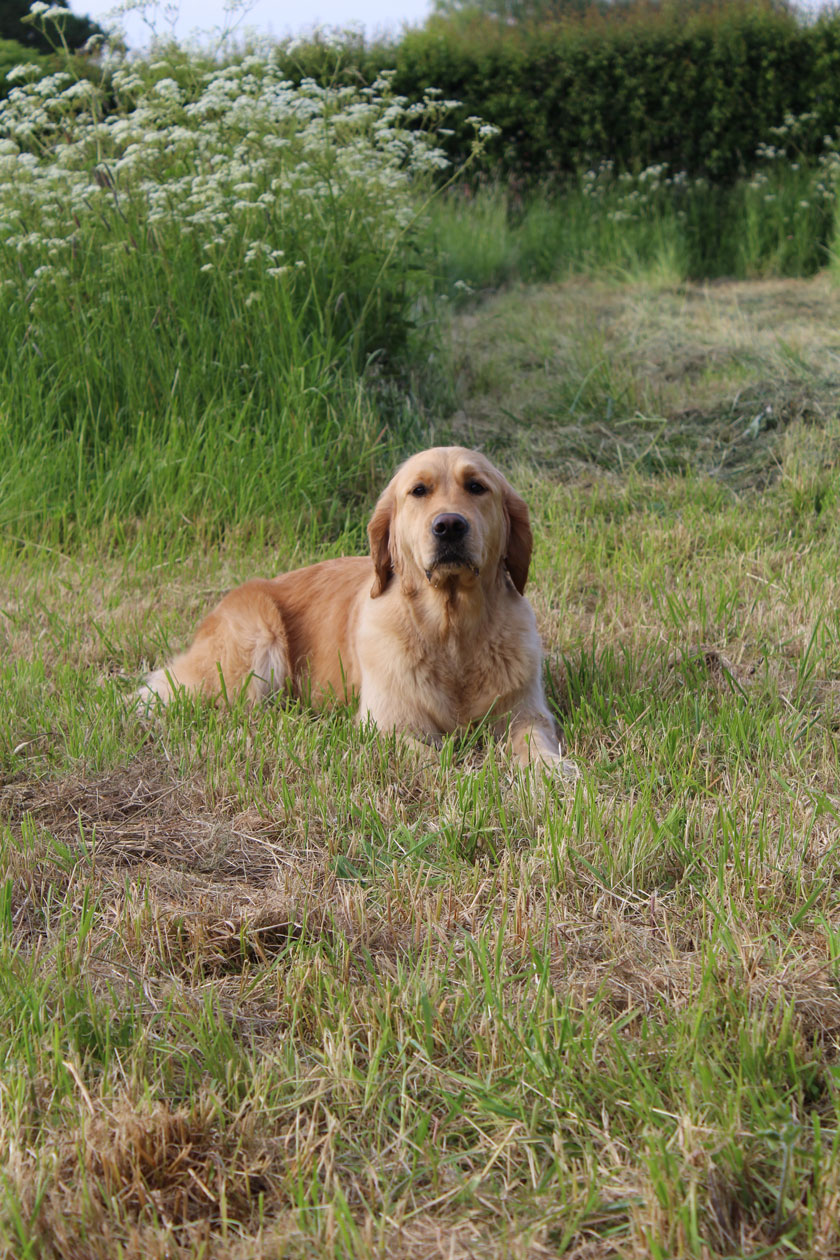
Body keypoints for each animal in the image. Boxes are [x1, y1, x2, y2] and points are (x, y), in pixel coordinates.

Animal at [142, 448, 579, 771]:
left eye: (476, 487)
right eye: (418, 490)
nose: (449, 526)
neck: (451, 631)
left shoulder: (526, 713)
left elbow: (535, 744)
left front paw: (551, 773)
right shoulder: (388, 725)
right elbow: (432, 761)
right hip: (254, 646)